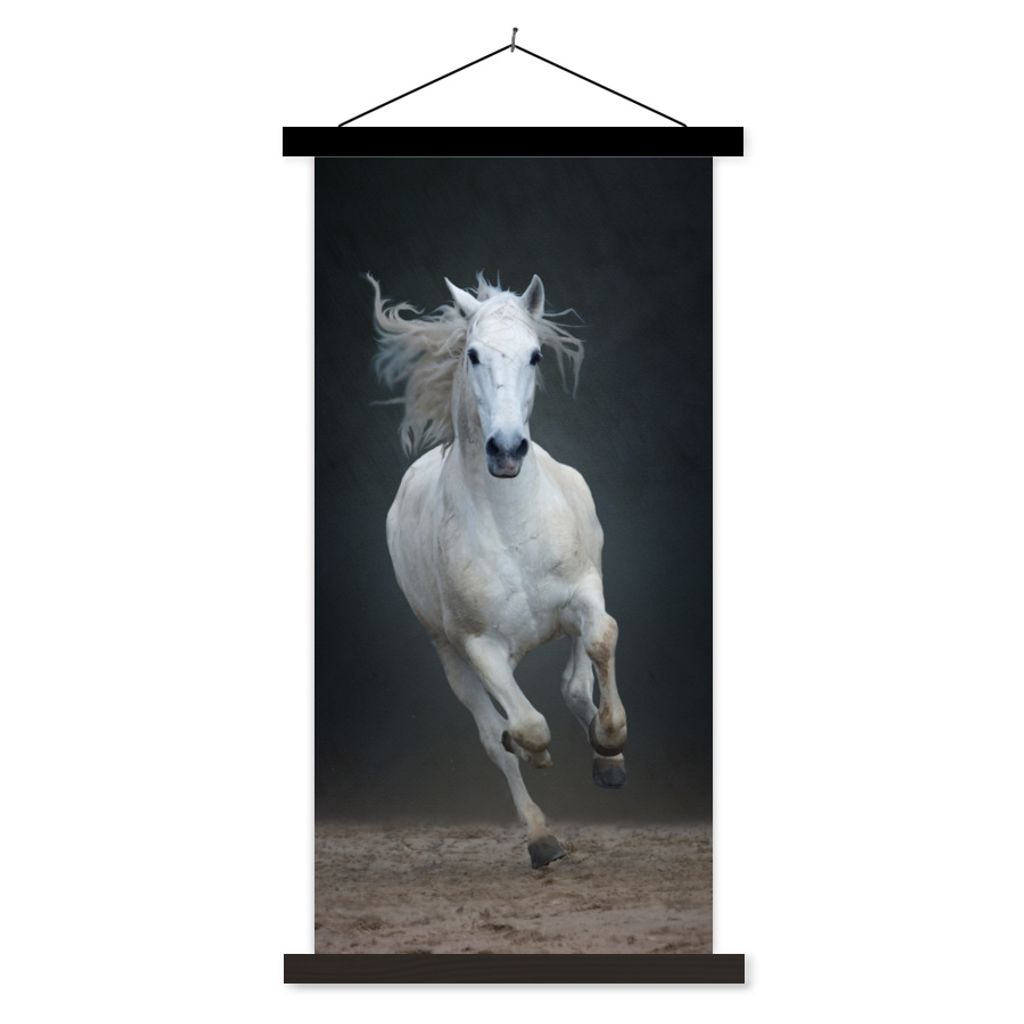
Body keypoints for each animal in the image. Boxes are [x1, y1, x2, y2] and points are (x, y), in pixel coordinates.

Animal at [368, 272, 627, 868]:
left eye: (535, 355)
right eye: (473, 355)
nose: (506, 450)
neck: (511, 522)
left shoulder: (584, 591)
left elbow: (601, 638)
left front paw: (610, 742)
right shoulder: (478, 646)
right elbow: (525, 727)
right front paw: (538, 758)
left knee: (574, 682)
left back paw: (605, 761)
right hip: (450, 654)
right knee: (496, 737)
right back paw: (541, 838)